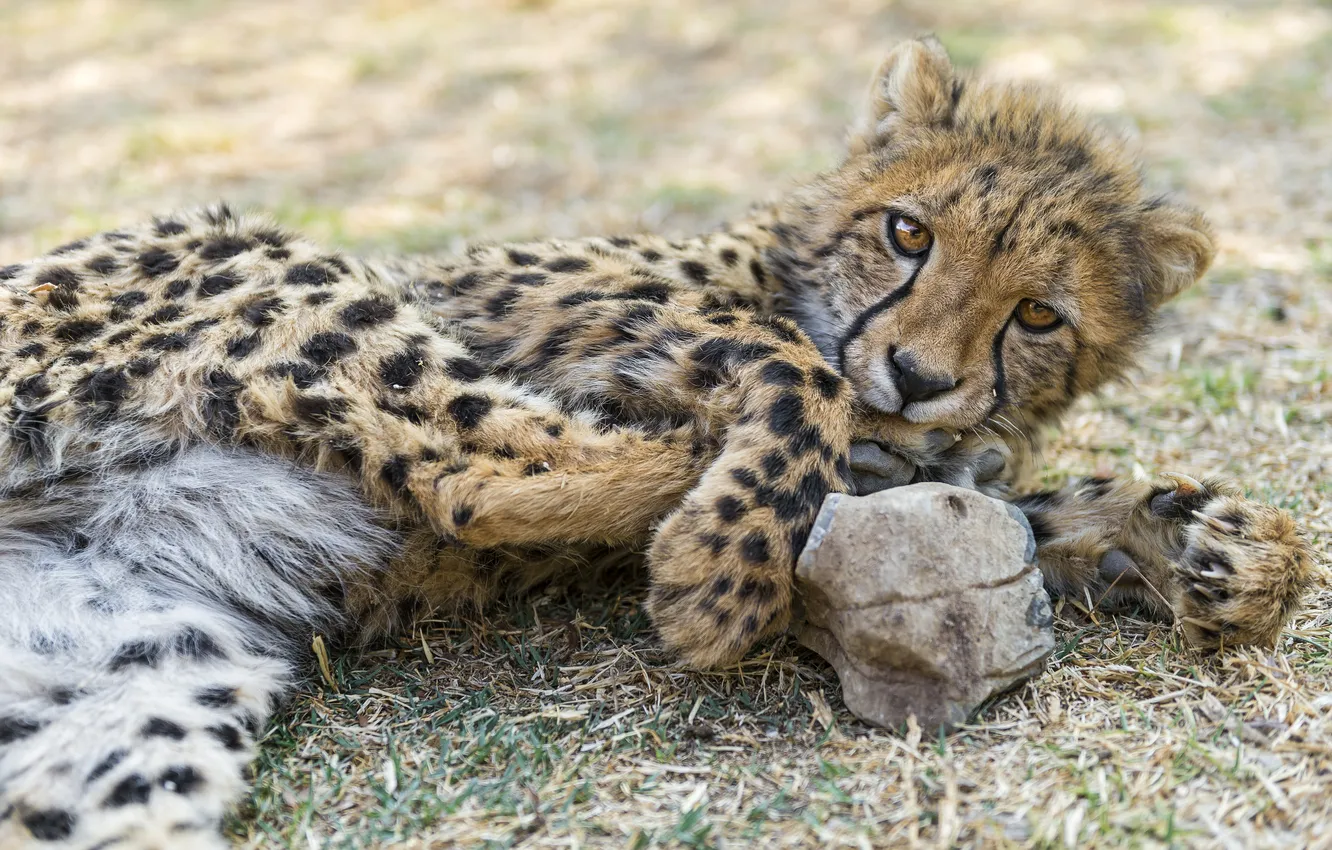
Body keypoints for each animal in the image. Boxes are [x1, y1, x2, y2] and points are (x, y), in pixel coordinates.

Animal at [0, 36, 1310, 847]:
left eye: (1040, 315)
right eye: (907, 232)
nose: (922, 375)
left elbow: (1017, 505)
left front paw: (1223, 550)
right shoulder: (576, 322)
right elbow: (797, 383)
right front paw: (722, 574)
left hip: (138, 691)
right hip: (263, 263)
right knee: (481, 477)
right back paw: (685, 520)